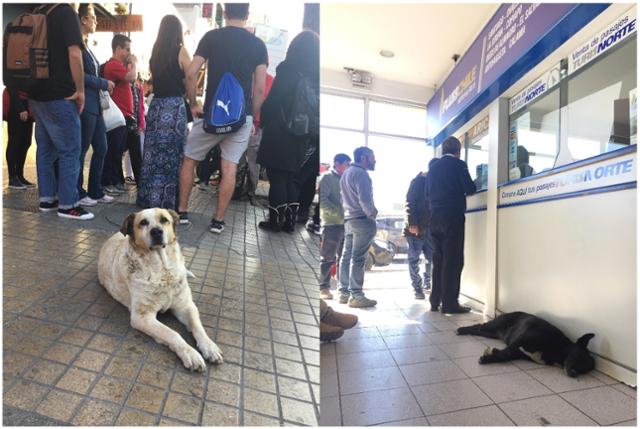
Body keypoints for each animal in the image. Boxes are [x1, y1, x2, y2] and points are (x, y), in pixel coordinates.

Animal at [97, 207, 222, 368]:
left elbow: (198, 327)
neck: (162, 270)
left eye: (164, 220)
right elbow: (173, 333)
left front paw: (209, 346)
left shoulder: (185, 306)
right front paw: (190, 353)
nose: (156, 231)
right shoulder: (142, 317)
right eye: (143, 222)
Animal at [456, 310, 596, 374]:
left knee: (478, 329)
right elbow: (505, 353)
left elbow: (505, 355)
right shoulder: (521, 339)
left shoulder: (518, 353)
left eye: (585, 370)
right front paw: (488, 357)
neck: (557, 347)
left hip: (490, 332)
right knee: (479, 326)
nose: (574, 374)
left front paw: (491, 357)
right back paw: (462, 329)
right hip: (493, 326)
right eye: (578, 357)